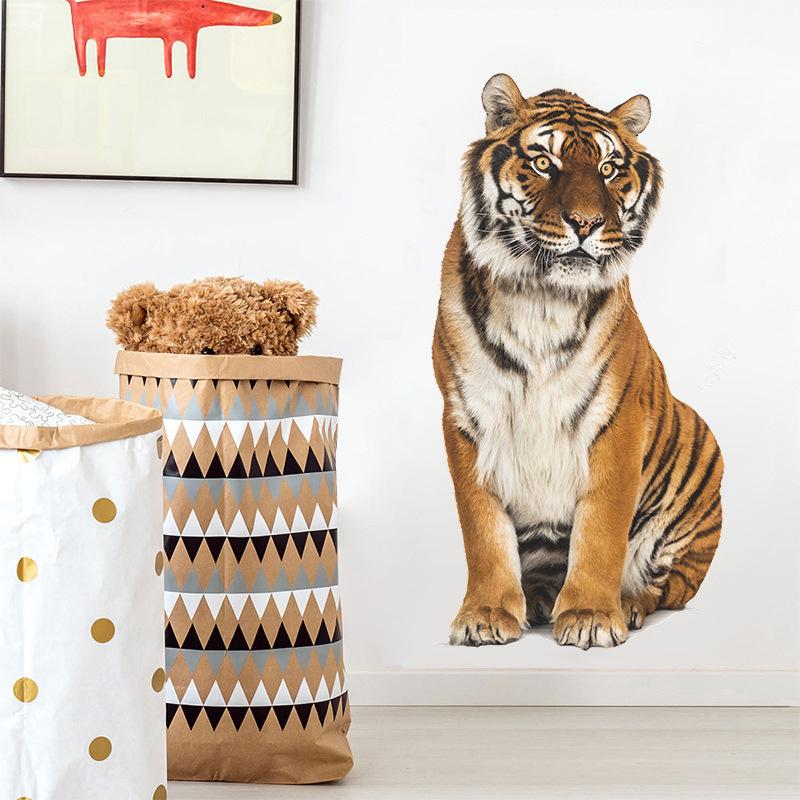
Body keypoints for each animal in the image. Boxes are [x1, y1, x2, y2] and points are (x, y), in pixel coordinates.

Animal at [432, 74, 723, 649]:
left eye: (609, 169)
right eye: (544, 162)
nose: (586, 224)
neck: (541, 297)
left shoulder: (617, 418)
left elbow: (603, 528)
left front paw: (590, 615)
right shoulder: (466, 415)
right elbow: (482, 529)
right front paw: (485, 615)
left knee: (667, 587)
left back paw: (625, 604)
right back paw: (540, 598)